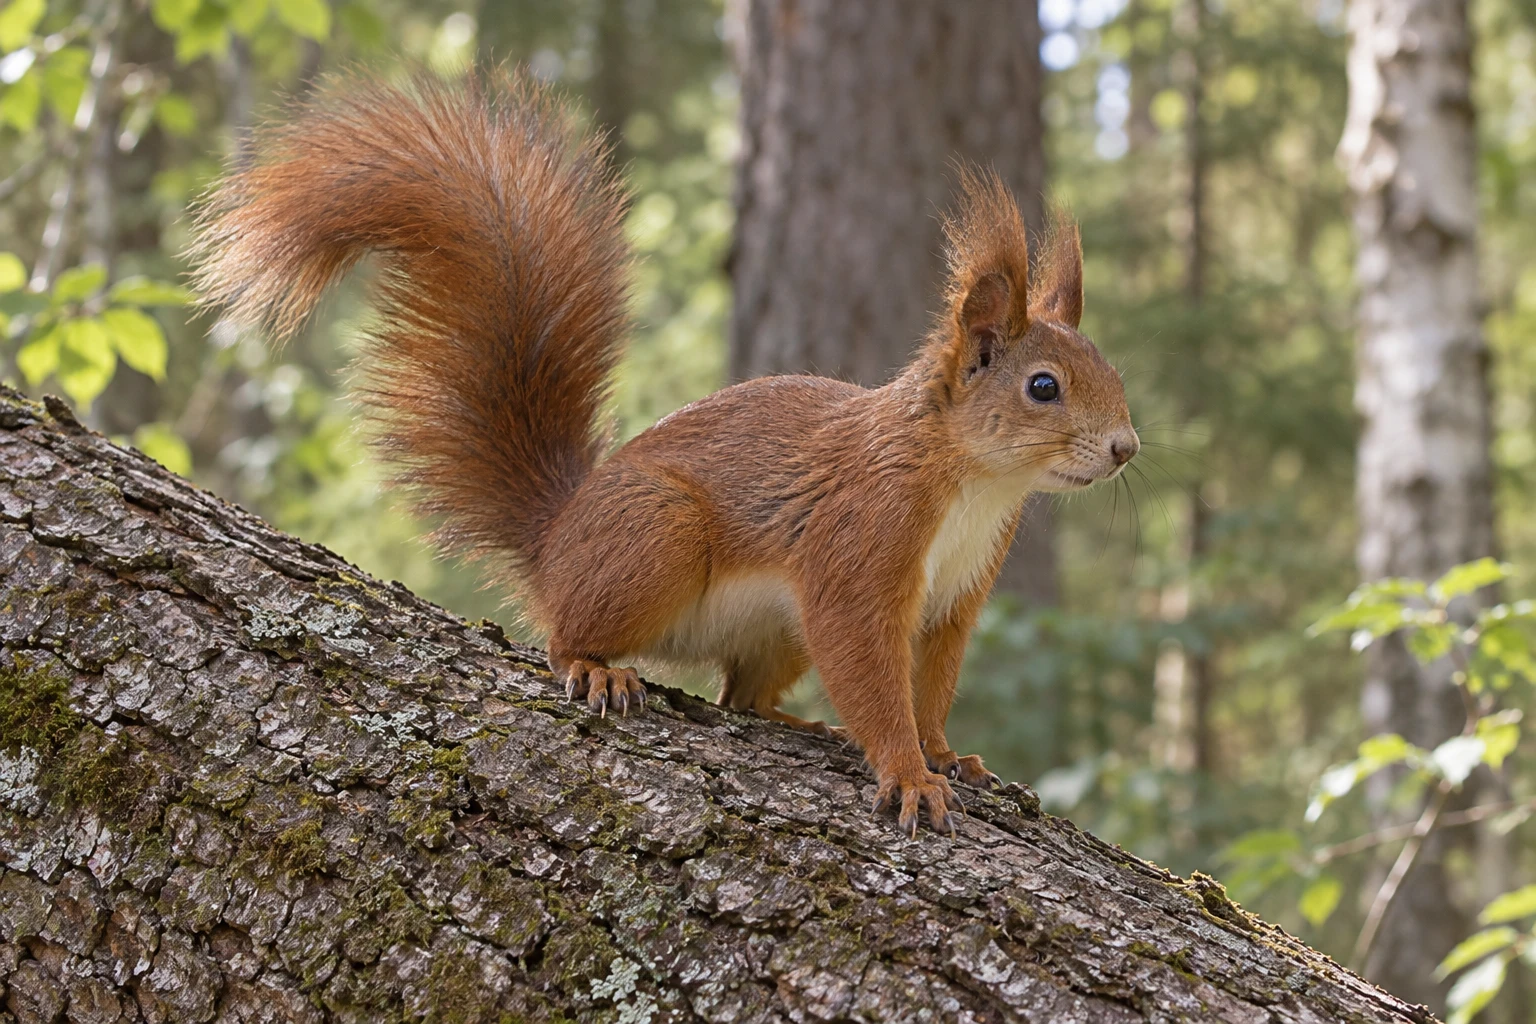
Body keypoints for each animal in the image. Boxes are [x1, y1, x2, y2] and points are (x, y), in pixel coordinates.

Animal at [190, 69, 1138, 837]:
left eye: (1112, 370)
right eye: (1043, 387)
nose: (1126, 448)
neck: (976, 484)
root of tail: (557, 540)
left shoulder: (956, 598)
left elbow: (932, 681)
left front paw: (946, 754)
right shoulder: (858, 546)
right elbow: (871, 668)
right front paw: (906, 772)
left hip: (773, 630)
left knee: (743, 696)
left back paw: (798, 724)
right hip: (656, 535)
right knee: (565, 635)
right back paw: (595, 668)